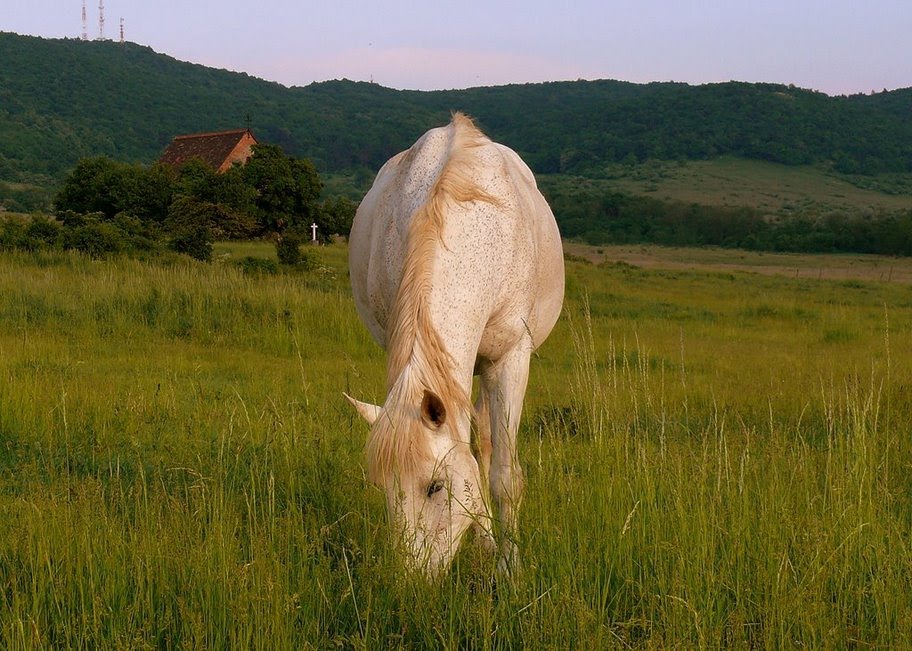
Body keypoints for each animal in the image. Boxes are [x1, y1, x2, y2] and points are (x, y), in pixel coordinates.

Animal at [348, 112, 564, 576]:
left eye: (434, 487)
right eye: (381, 487)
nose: (409, 582)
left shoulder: (510, 359)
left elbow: (505, 476)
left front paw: (509, 568)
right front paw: (487, 546)